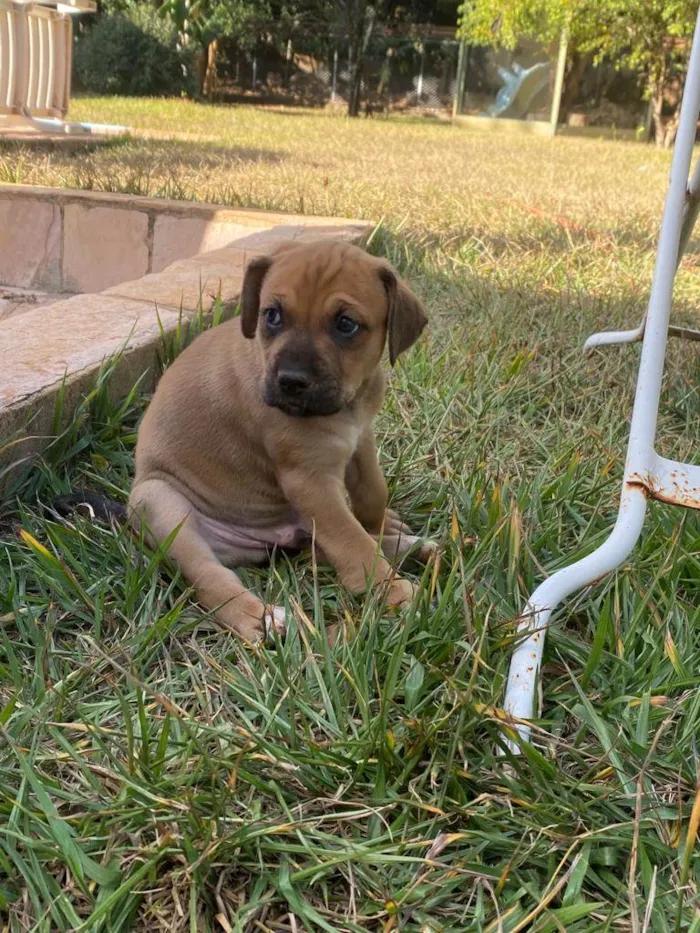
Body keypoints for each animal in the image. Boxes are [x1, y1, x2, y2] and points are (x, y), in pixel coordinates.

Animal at [129, 238, 430, 640]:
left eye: (346, 324)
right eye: (271, 316)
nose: (290, 382)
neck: (347, 405)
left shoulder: (360, 440)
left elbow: (371, 497)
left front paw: (381, 528)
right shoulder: (309, 481)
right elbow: (352, 541)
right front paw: (391, 589)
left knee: (319, 548)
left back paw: (412, 547)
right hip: (159, 502)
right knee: (208, 575)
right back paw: (258, 616)